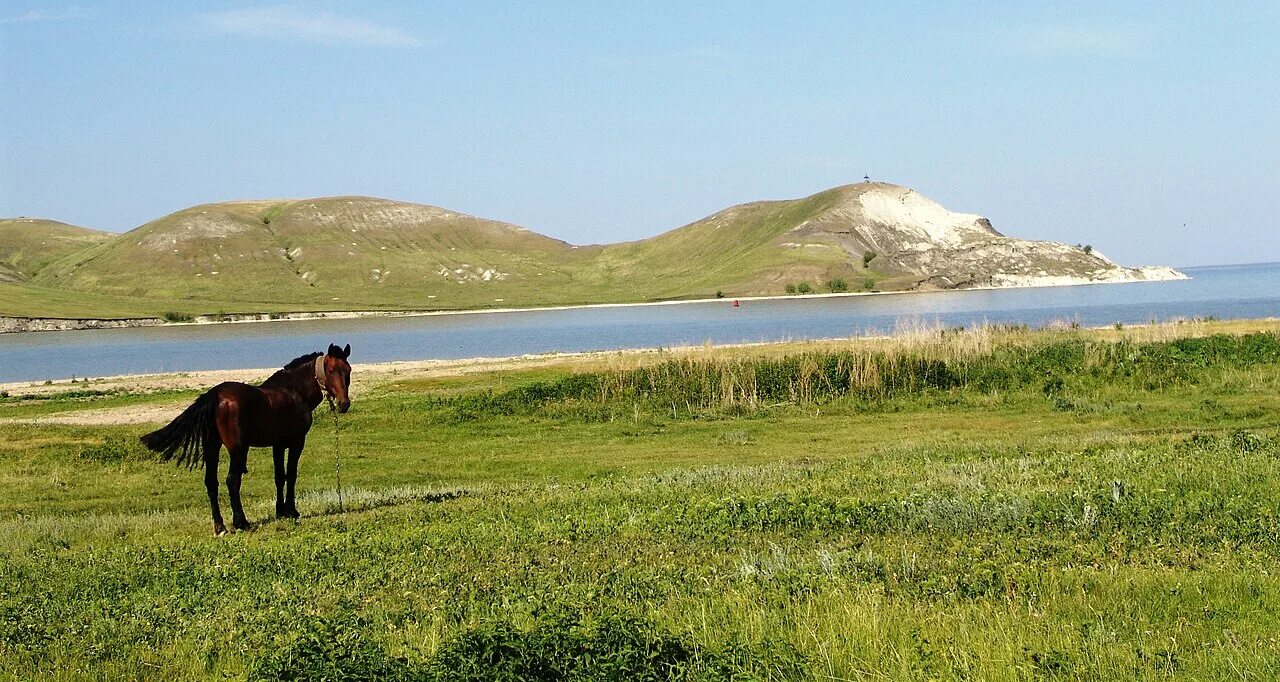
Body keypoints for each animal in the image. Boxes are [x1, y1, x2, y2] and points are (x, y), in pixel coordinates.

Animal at [140, 342, 353, 534]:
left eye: (348, 370)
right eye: (331, 370)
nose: (344, 404)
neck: (294, 392)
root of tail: (215, 395)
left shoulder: (278, 445)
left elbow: (279, 476)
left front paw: (280, 511)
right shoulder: (296, 442)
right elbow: (291, 475)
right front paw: (292, 511)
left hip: (212, 447)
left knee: (211, 482)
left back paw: (220, 527)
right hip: (237, 449)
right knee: (232, 481)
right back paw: (241, 522)